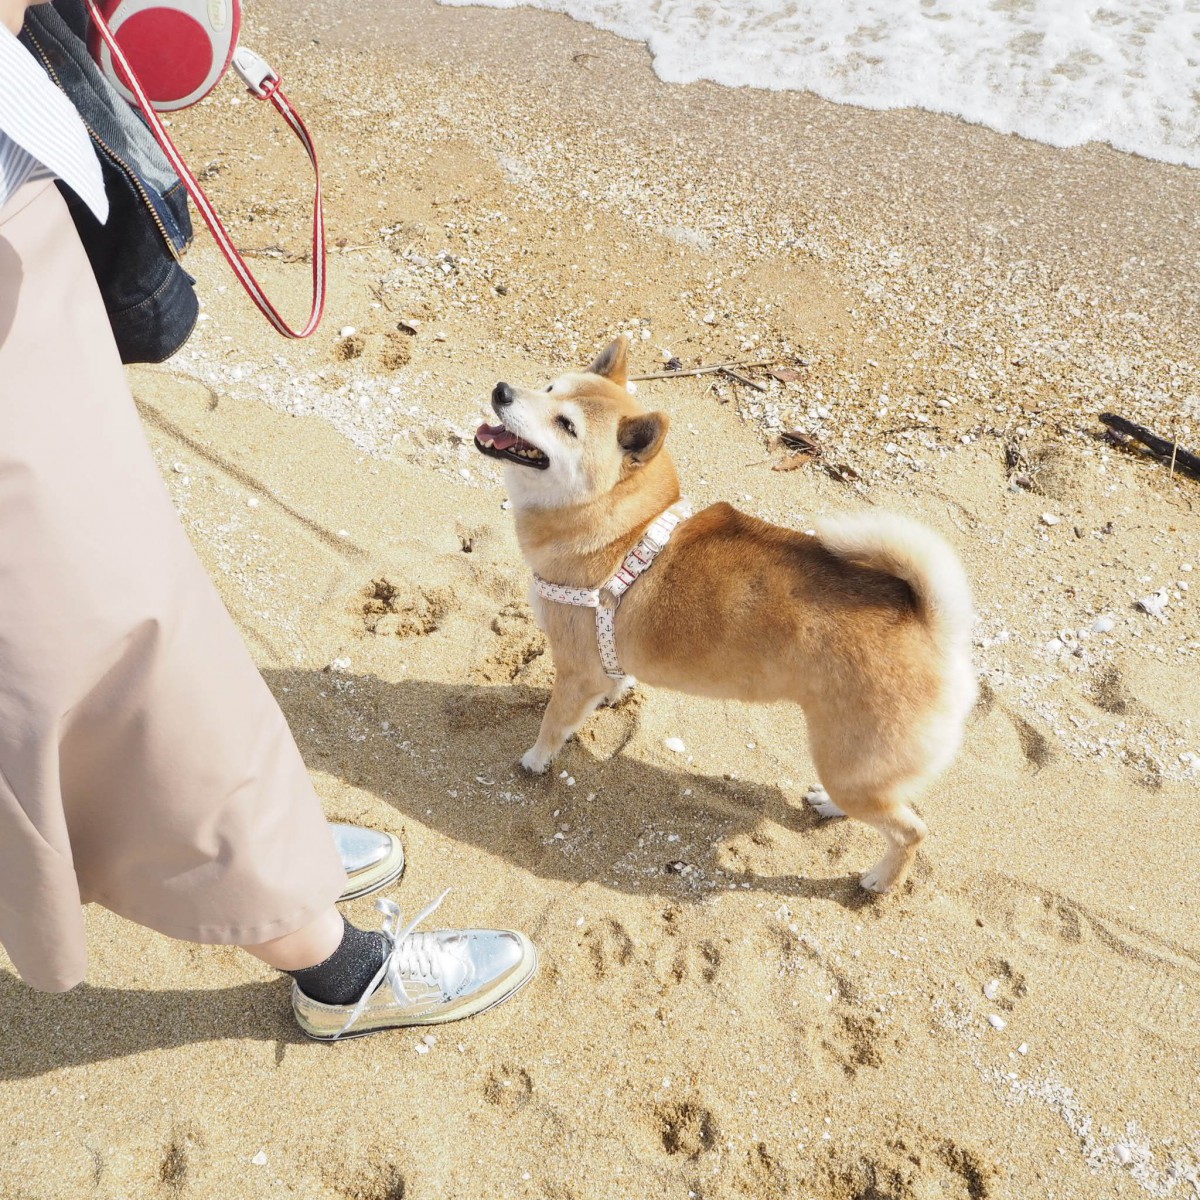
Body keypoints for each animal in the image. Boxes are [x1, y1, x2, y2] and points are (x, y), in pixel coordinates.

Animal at [472, 338, 979, 892]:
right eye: (548, 387)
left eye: (566, 425)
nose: (501, 391)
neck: (622, 528)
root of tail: (931, 626)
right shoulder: (601, 663)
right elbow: (611, 683)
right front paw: (612, 697)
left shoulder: (573, 672)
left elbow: (552, 725)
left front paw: (535, 760)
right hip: (855, 769)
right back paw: (828, 808)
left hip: (850, 764)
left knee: (911, 830)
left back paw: (880, 880)